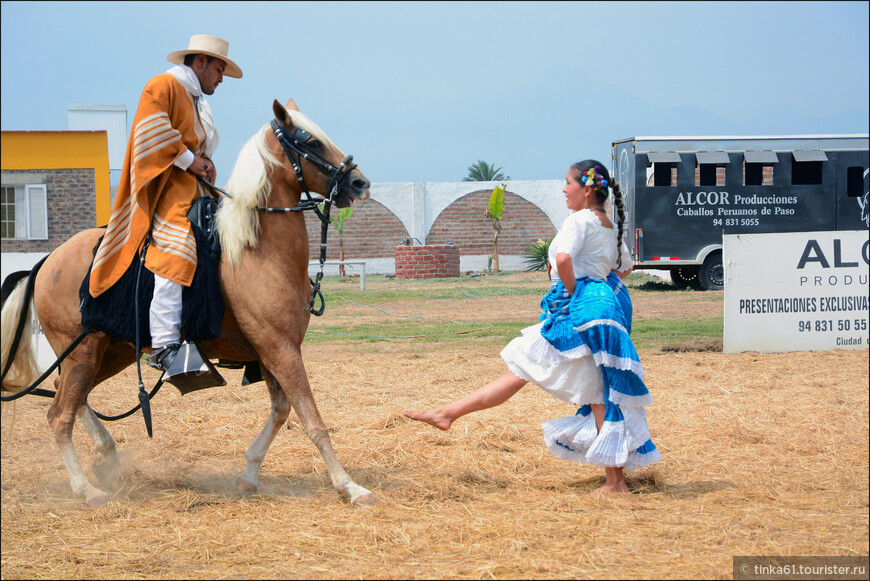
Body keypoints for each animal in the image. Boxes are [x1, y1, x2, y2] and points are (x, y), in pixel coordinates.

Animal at [2, 99, 378, 508]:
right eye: (310, 140)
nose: (360, 182)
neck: (256, 250)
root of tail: (47, 261)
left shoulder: (271, 353)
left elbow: (281, 411)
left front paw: (249, 473)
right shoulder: (280, 348)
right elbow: (311, 418)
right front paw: (349, 486)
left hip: (107, 353)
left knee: (68, 396)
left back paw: (106, 455)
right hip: (83, 353)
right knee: (60, 415)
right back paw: (87, 489)